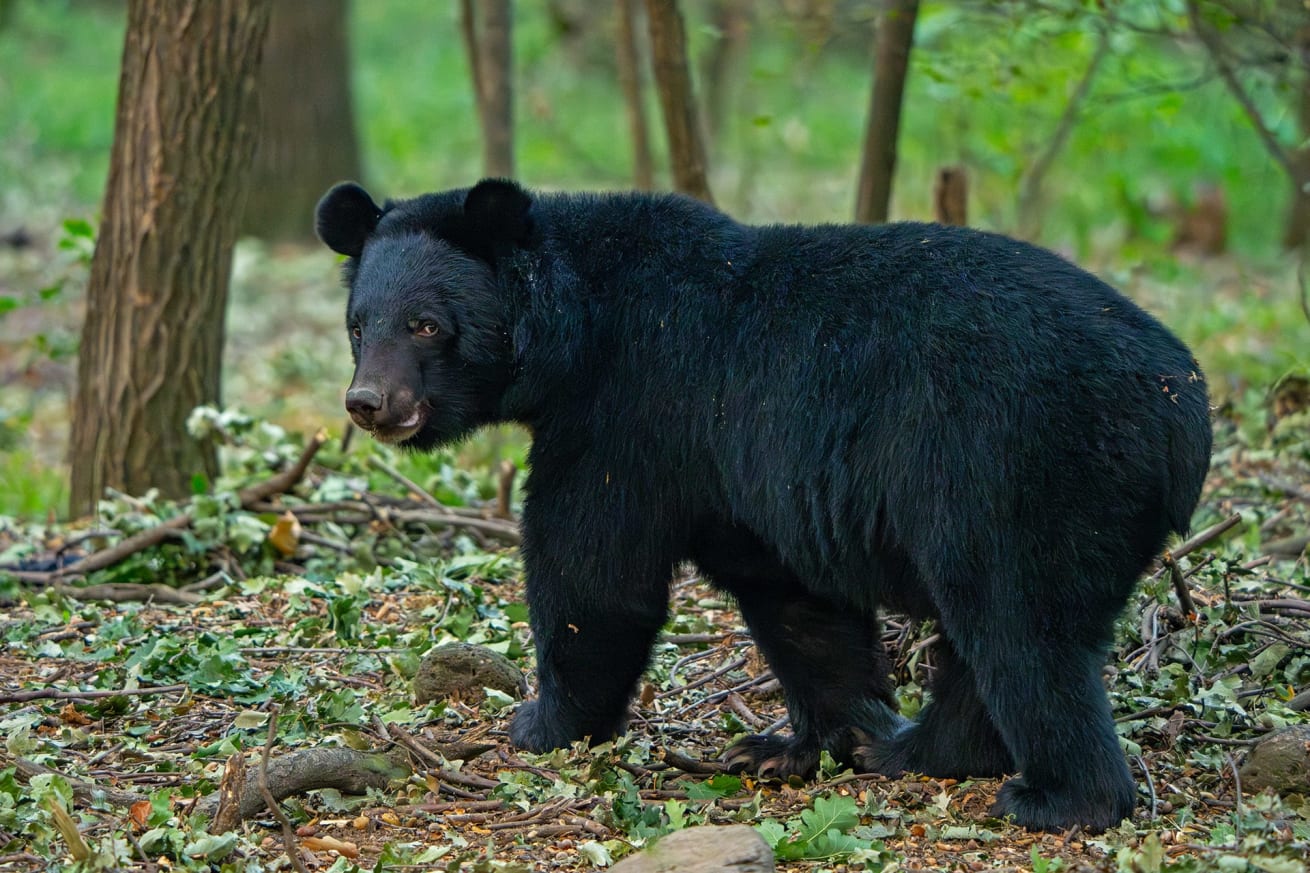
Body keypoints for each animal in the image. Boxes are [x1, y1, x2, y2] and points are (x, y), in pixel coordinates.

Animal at [315, 178, 1212, 832]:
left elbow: (594, 570)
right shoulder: (741, 476)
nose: (369, 403)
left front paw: (543, 720)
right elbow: (794, 599)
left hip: (1019, 470)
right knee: (987, 643)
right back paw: (920, 749)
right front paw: (800, 742)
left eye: (426, 324)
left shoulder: (630, 411)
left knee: (1024, 631)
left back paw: (1056, 797)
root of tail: (1183, 413)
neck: (573, 330)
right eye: (358, 325)